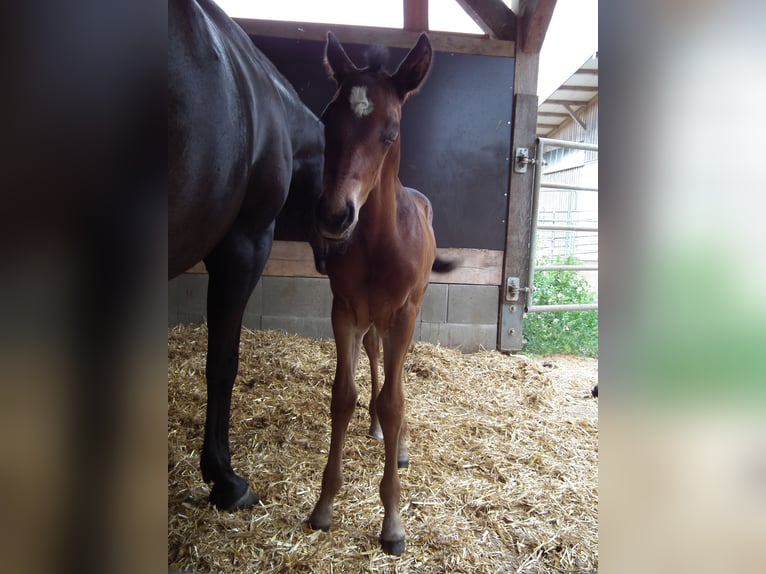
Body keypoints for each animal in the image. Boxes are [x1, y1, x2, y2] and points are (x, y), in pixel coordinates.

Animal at [308, 32, 453, 555]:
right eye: (327, 120)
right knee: (374, 353)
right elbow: (343, 395)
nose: (334, 216)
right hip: (372, 317)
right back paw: (373, 426)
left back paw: (400, 442)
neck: (376, 242)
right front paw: (325, 504)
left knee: (397, 375)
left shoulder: (404, 313)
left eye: (390, 132)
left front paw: (392, 522)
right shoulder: (344, 309)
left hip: (408, 311)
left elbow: (395, 400)